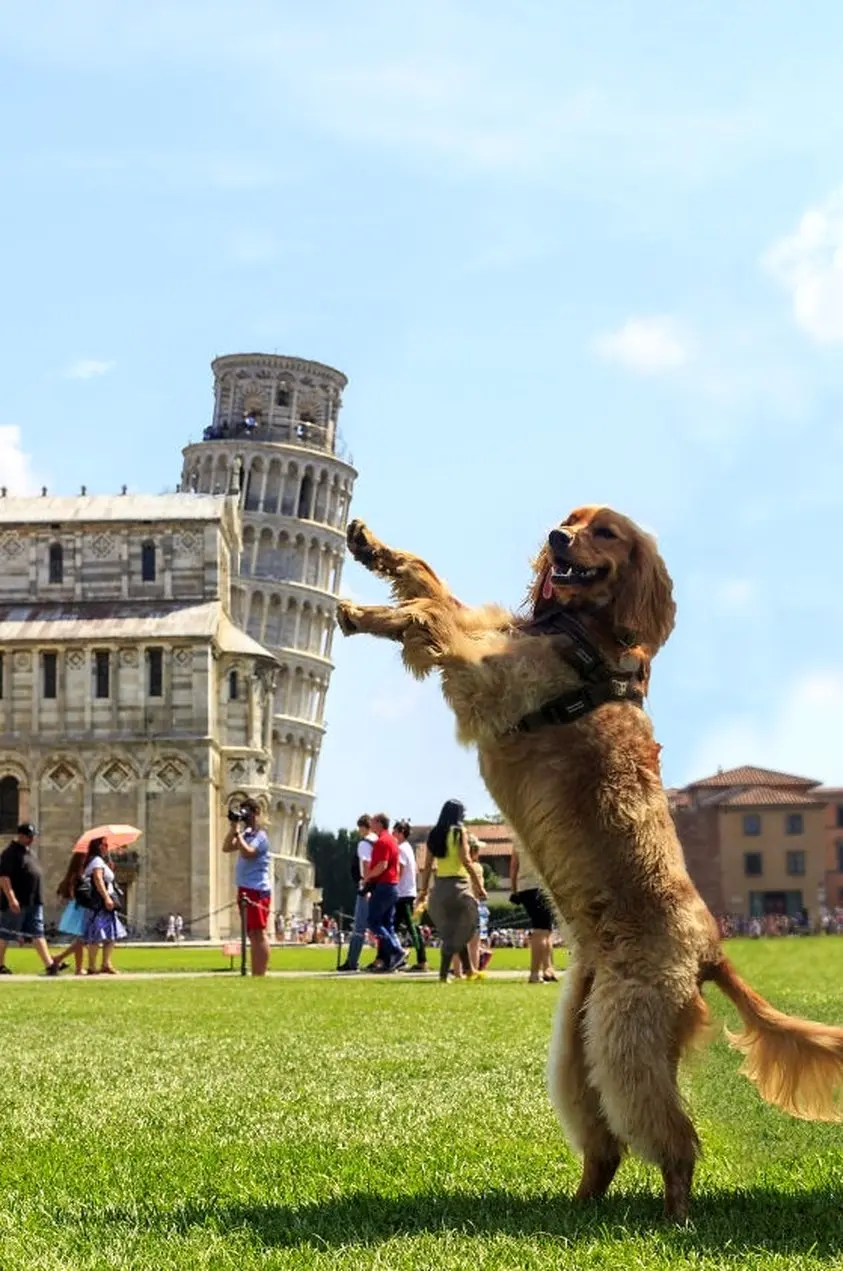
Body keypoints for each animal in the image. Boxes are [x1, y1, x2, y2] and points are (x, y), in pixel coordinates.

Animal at [336, 505, 843, 1221]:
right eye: (569, 518)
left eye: (605, 532)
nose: (557, 539)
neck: (582, 636)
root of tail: (712, 949)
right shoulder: (489, 641)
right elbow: (430, 582)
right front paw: (373, 556)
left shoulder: (487, 676)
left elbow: (432, 611)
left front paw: (367, 611)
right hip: (578, 1047)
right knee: (605, 1146)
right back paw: (576, 1207)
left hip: (625, 1038)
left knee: (675, 1140)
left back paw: (675, 1220)